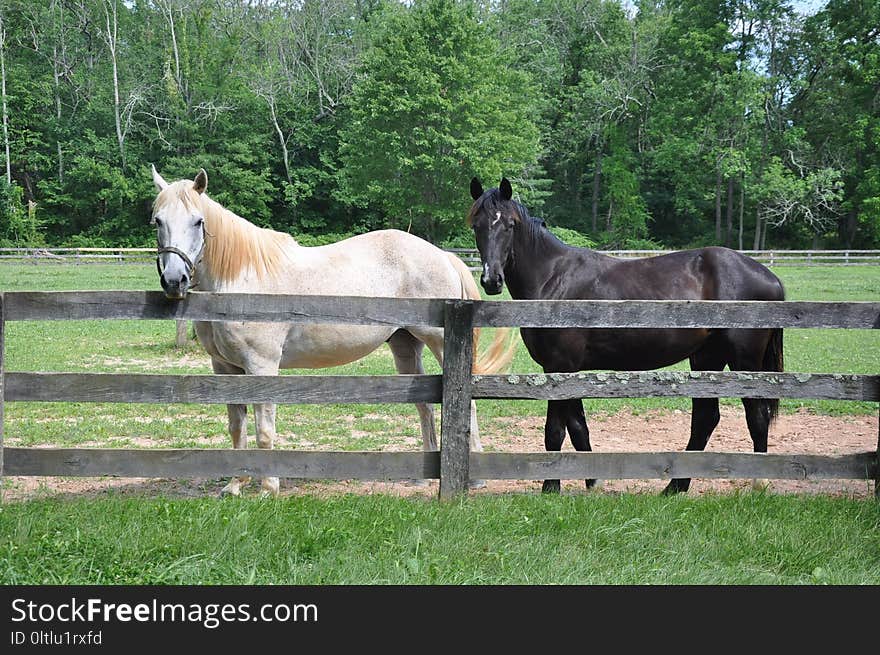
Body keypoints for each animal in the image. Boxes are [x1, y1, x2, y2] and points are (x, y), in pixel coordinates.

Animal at [150, 167, 508, 494]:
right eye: (158, 221)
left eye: (198, 221)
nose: (174, 280)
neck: (240, 280)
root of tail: (443, 256)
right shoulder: (225, 368)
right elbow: (237, 427)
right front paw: (236, 485)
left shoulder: (261, 366)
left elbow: (264, 428)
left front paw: (267, 487)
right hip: (405, 347)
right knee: (425, 406)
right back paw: (423, 476)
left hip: (441, 342)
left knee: (467, 403)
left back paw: (474, 478)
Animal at [468, 177, 784, 494]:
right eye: (477, 225)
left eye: (509, 224)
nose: (491, 280)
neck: (553, 279)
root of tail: (769, 276)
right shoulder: (566, 370)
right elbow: (579, 429)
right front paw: (592, 482)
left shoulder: (559, 368)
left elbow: (555, 432)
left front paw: (550, 487)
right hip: (707, 358)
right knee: (706, 420)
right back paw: (675, 486)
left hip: (743, 361)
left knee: (756, 416)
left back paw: (759, 481)